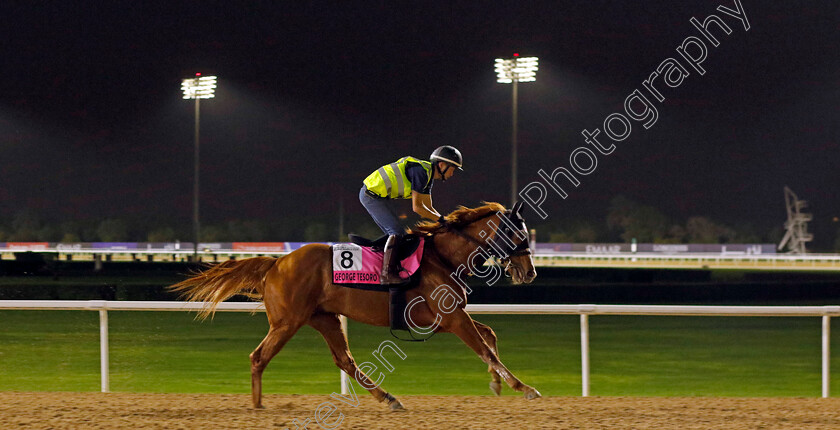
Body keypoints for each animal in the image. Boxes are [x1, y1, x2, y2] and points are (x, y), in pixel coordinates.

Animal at [170, 202, 540, 410]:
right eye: (515, 233)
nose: (529, 272)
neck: (443, 257)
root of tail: (276, 263)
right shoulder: (450, 318)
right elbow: (486, 348)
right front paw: (523, 387)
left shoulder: (451, 316)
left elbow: (489, 336)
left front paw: (496, 384)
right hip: (288, 322)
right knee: (259, 357)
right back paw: (258, 406)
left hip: (324, 318)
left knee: (344, 360)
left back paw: (389, 398)